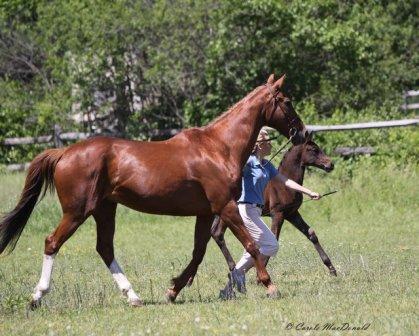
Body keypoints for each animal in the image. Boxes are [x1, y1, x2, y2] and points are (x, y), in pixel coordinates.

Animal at [0, 73, 308, 308]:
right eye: (287, 102)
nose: (304, 133)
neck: (218, 148)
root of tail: (64, 152)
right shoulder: (226, 207)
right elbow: (251, 244)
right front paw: (269, 285)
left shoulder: (206, 213)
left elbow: (198, 252)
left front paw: (173, 290)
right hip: (77, 211)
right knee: (52, 242)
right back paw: (37, 297)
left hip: (104, 210)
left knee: (105, 248)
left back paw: (133, 297)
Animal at [213, 139, 338, 296]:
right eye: (313, 150)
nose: (330, 164)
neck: (283, 186)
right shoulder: (278, 214)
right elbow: (274, 237)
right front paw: (259, 278)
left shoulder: (292, 214)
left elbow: (311, 234)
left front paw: (332, 269)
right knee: (218, 234)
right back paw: (233, 269)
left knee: (216, 233)